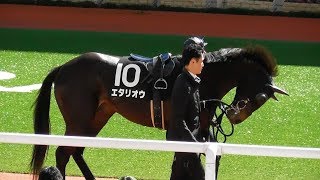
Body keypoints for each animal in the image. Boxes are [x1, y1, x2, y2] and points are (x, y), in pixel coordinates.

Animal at [30, 45, 288, 179]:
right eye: (260, 97)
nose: (235, 115)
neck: (203, 77)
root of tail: (63, 67)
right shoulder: (182, 129)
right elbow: (188, 161)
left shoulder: (201, 130)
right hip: (79, 119)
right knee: (64, 153)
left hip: (99, 115)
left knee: (77, 150)